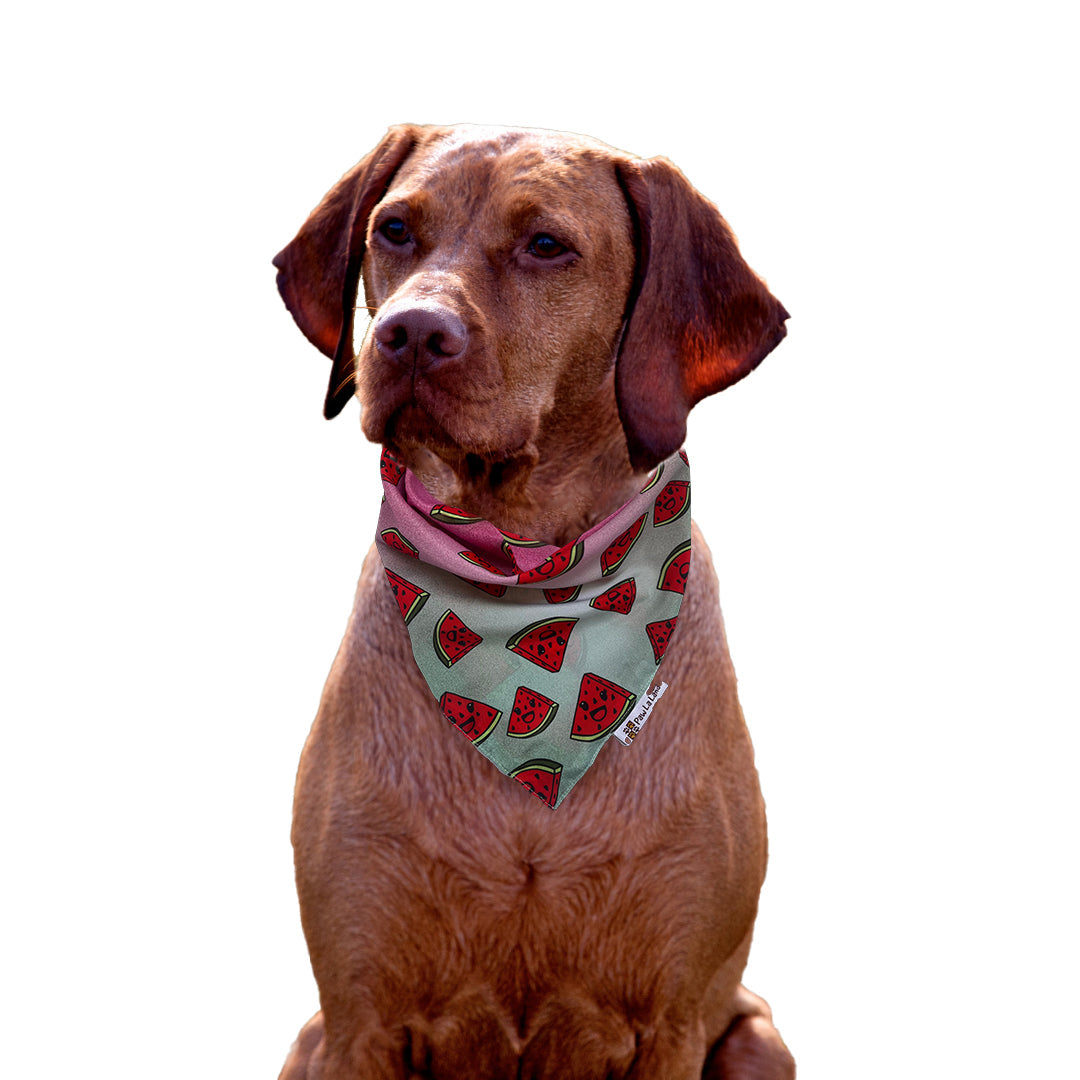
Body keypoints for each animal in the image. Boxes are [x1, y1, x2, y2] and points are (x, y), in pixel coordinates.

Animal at [270, 122, 794, 1075]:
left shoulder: (673, 1021)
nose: (409, 333)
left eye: (546, 245)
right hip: (309, 1038)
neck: (524, 582)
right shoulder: (359, 1017)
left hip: (757, 1036)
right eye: (394, 229)